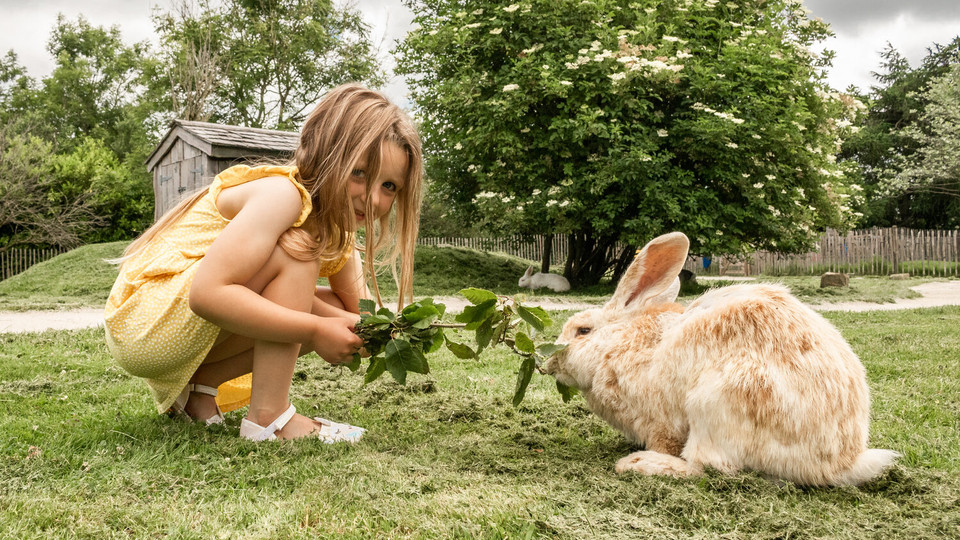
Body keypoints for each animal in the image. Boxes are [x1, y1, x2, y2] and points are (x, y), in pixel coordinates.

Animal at [540, 231, 900, 486]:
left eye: (583, 331)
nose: (548, 364)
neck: (620, 345)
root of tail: (841, 463)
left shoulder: (662, 423)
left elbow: (669, 443)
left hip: (718, 399)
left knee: (710, 467)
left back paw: (640, 465)